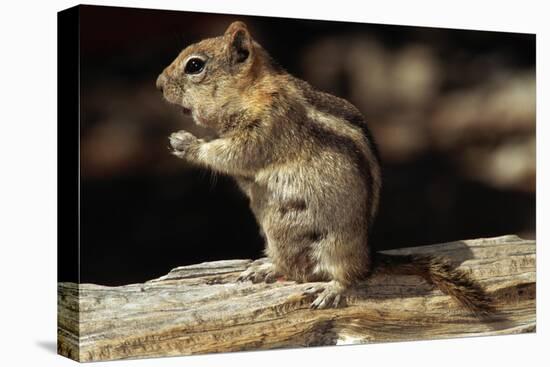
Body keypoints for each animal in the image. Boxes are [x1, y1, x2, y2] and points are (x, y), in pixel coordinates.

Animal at [156, 20, 496, 314]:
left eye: (195, 66)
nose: (158, 85)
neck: (251, 91)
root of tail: (369, 258)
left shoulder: (267, 125)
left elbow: (234, 154)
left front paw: (185, 142)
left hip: (337, 245)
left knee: (349, 276)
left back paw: (331, 289)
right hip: (276, 237)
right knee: (288, 265)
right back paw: (265, 268)